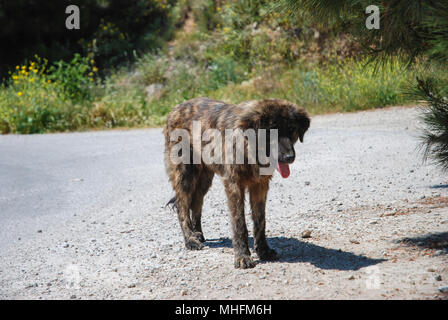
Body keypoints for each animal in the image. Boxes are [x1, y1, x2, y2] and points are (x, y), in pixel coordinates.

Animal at [165, 97, 312, 268]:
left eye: (292, 129)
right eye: (270, 132)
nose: (289, 157)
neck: (249, 147)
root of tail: (176, 108)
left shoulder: (260, 185)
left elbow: (260, 221)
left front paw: (264, 251)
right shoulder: (234, 185)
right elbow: (239, 223)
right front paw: (243, 256)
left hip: (205, 179)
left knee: (196, 203)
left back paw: (198, 233)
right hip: (185, 174)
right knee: (182, 206)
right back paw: (190, 240)